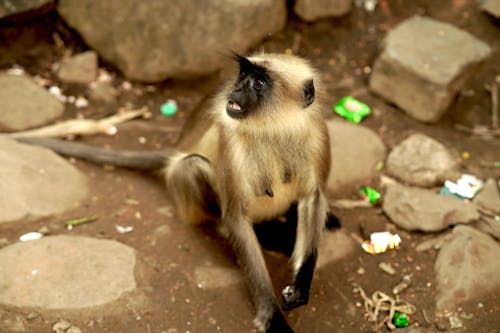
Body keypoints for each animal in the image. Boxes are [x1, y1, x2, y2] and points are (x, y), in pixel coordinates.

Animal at [15, 53, 336, 330]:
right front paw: (270, 314)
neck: (275, 128)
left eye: (258, 83)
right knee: (191, 168)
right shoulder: (231, 138)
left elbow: (312, 197)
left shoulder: (316, 130)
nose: (236, 88)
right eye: (243, 75)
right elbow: (236, 217)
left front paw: (301, 285)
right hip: (186, 186)